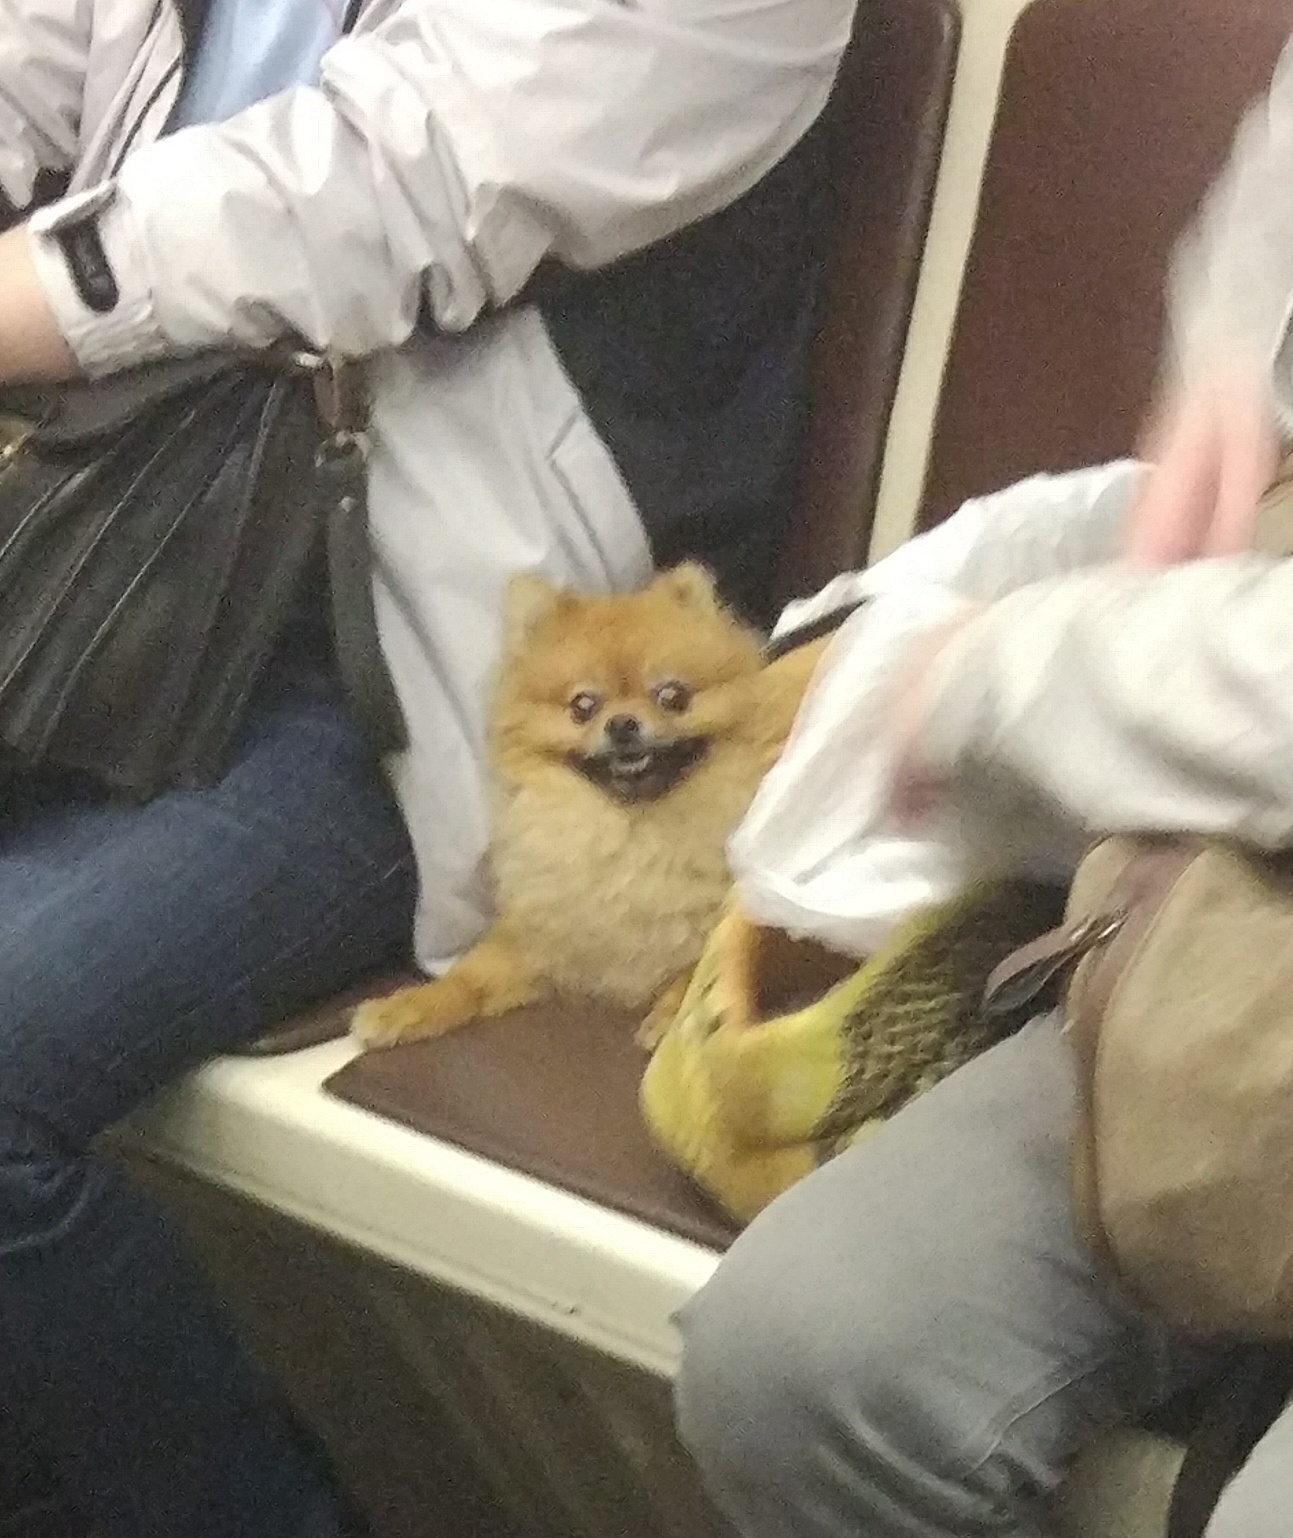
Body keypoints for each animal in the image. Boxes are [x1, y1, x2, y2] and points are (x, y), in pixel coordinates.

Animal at [347, 559, 824, 1051]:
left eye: (672, 696)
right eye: (583, 705)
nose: (623, 724)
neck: (628, 836)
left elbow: (697, 969)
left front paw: (670, 1015)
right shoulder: (542, 937)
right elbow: (468, 977)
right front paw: (404, 1007)